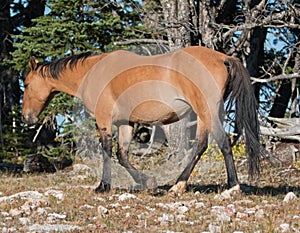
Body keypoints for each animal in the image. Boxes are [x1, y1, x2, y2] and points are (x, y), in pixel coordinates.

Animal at [22, 45, 264, 195]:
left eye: (26, 83)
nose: (26, 117)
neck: (92, 72)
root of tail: (223, 58)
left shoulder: (104, 120)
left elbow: (107, 150)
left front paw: (103, 186)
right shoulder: (125, 124)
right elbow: (122, 155)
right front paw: (149, 183)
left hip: (208, 112)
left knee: (223, 143)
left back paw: (232, 187)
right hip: (204, 115)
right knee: (201, 146)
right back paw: (178, 186)